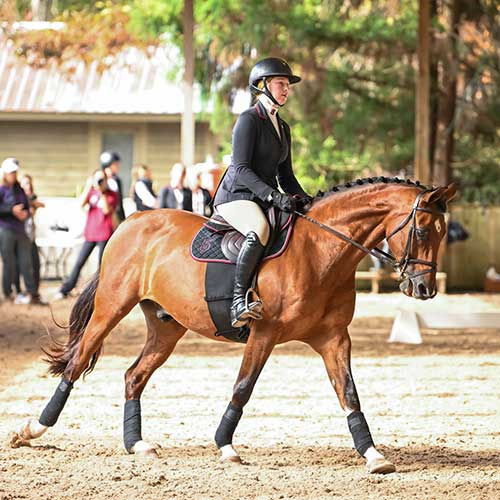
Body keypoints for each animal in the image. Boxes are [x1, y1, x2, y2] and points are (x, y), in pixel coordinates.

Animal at [11, 178, 458, 474]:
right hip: (111, 308)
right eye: (421, 229)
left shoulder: (333, 338)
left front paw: (373, 454)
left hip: (166, 327)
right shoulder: (264, 333)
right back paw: (32, 430)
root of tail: (130, 220)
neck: (319, 251)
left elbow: (348, 393)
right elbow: (243, 387)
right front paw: (225, 446)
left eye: (442, 233)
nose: (424, 289)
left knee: (133, 376)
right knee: (76, 363)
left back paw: (137, 444)